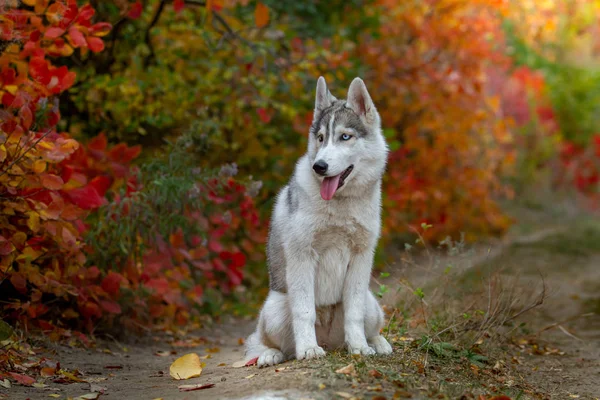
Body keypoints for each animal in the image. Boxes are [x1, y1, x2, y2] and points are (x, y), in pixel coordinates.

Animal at [245, 76, 394, 368]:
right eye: (321, 138)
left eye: (345, 137)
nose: (319, 166)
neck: (339, 205)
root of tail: (328, 341)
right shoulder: (302, 254)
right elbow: (304, 312)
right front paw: (308, 349)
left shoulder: (361, 257)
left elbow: (354, 313)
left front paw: (360, 348)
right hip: (275, 309)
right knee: (269, 344)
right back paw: (272, 354)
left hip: (371, 303)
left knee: (371, 326)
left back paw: (376, 344)